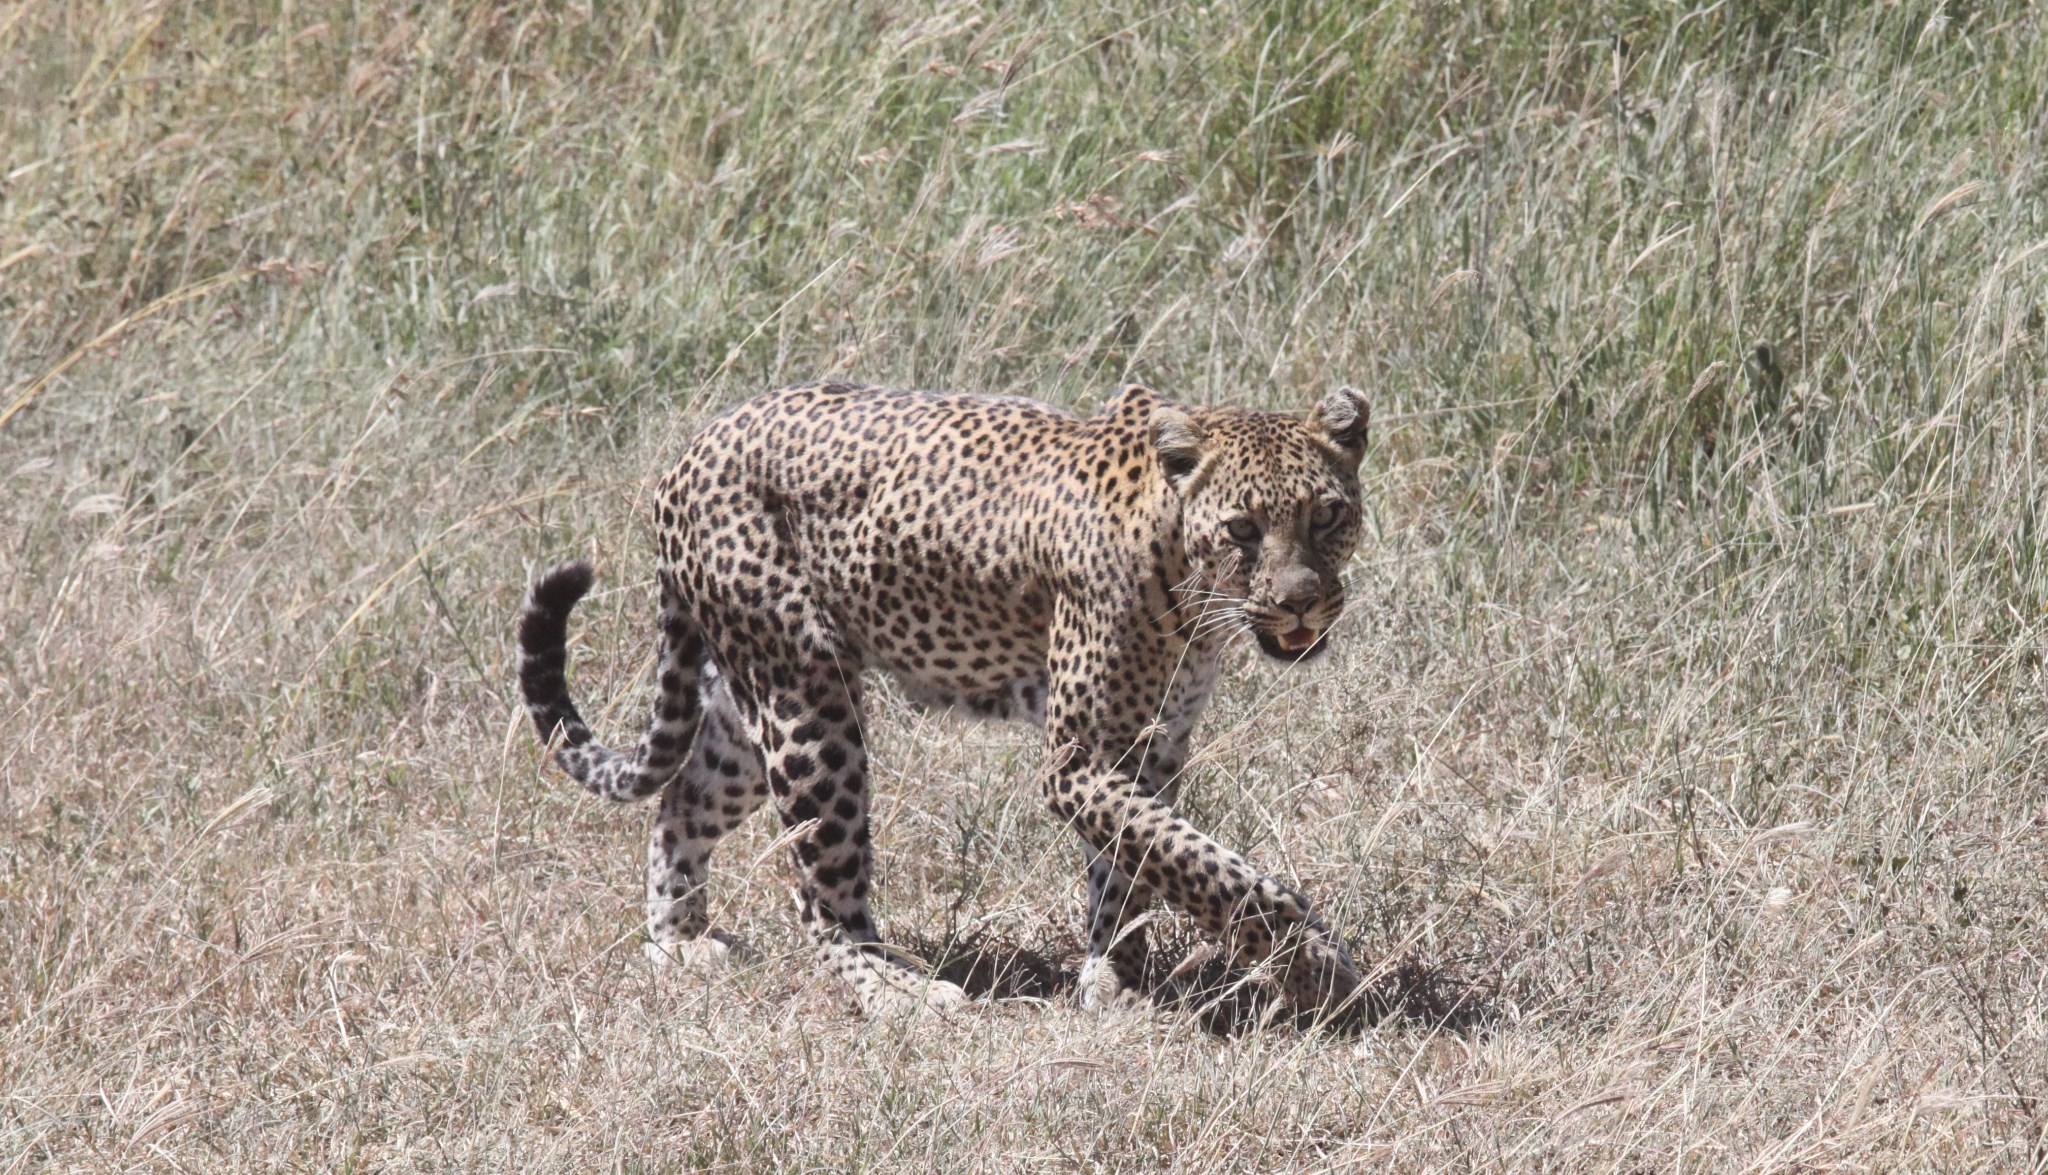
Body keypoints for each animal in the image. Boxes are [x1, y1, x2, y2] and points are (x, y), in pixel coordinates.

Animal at [512, 380, 1376, 1023]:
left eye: (1327, 513)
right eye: (1243, 528)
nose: (1302, 600)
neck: (1190, 584)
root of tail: (693, 448)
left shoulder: (1145, 748)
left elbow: (1139, 861)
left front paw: (1116, 978)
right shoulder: (1082, 759)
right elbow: (1213, 869)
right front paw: (1319, 967)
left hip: (753, 696)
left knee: (681, 803)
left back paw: (678, 943)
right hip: (809, 708)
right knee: (822, 897)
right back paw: (898, 990)